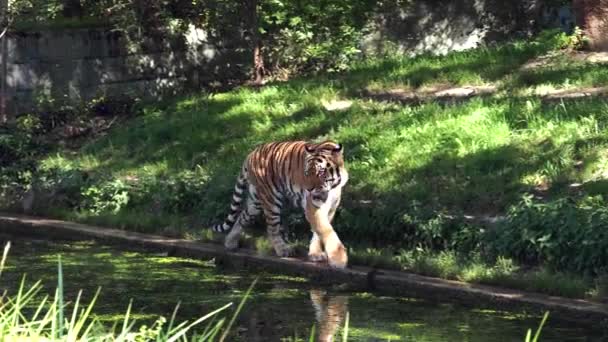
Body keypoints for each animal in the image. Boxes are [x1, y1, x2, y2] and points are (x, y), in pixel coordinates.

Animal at [213, 140, 346, 268]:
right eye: (307, 172)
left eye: (321, 172)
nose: (309, 189)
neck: (332, 187)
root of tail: (251, 154)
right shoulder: (314, 206)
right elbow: (325, 230)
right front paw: (339, 260)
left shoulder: (331, 208)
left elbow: (319, 232)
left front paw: (316, 254)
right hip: (271, 199)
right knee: (272, 228)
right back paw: (283, 250)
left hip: (255, 202)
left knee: (242, 217)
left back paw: (230, 242)